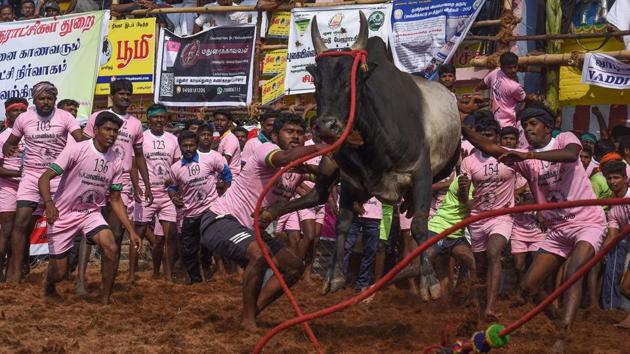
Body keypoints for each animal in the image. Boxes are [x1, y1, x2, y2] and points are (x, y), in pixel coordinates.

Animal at [262, 11, 464, 294]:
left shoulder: (421, 172)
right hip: (328, 164)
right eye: (317, 81)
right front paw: (333, 276)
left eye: (352, 80)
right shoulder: (350, 180)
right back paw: (268, 213)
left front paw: (430, 281)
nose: (326, 126)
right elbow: (343, 224)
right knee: (317, 194)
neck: (376, 143)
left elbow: (419, 226)